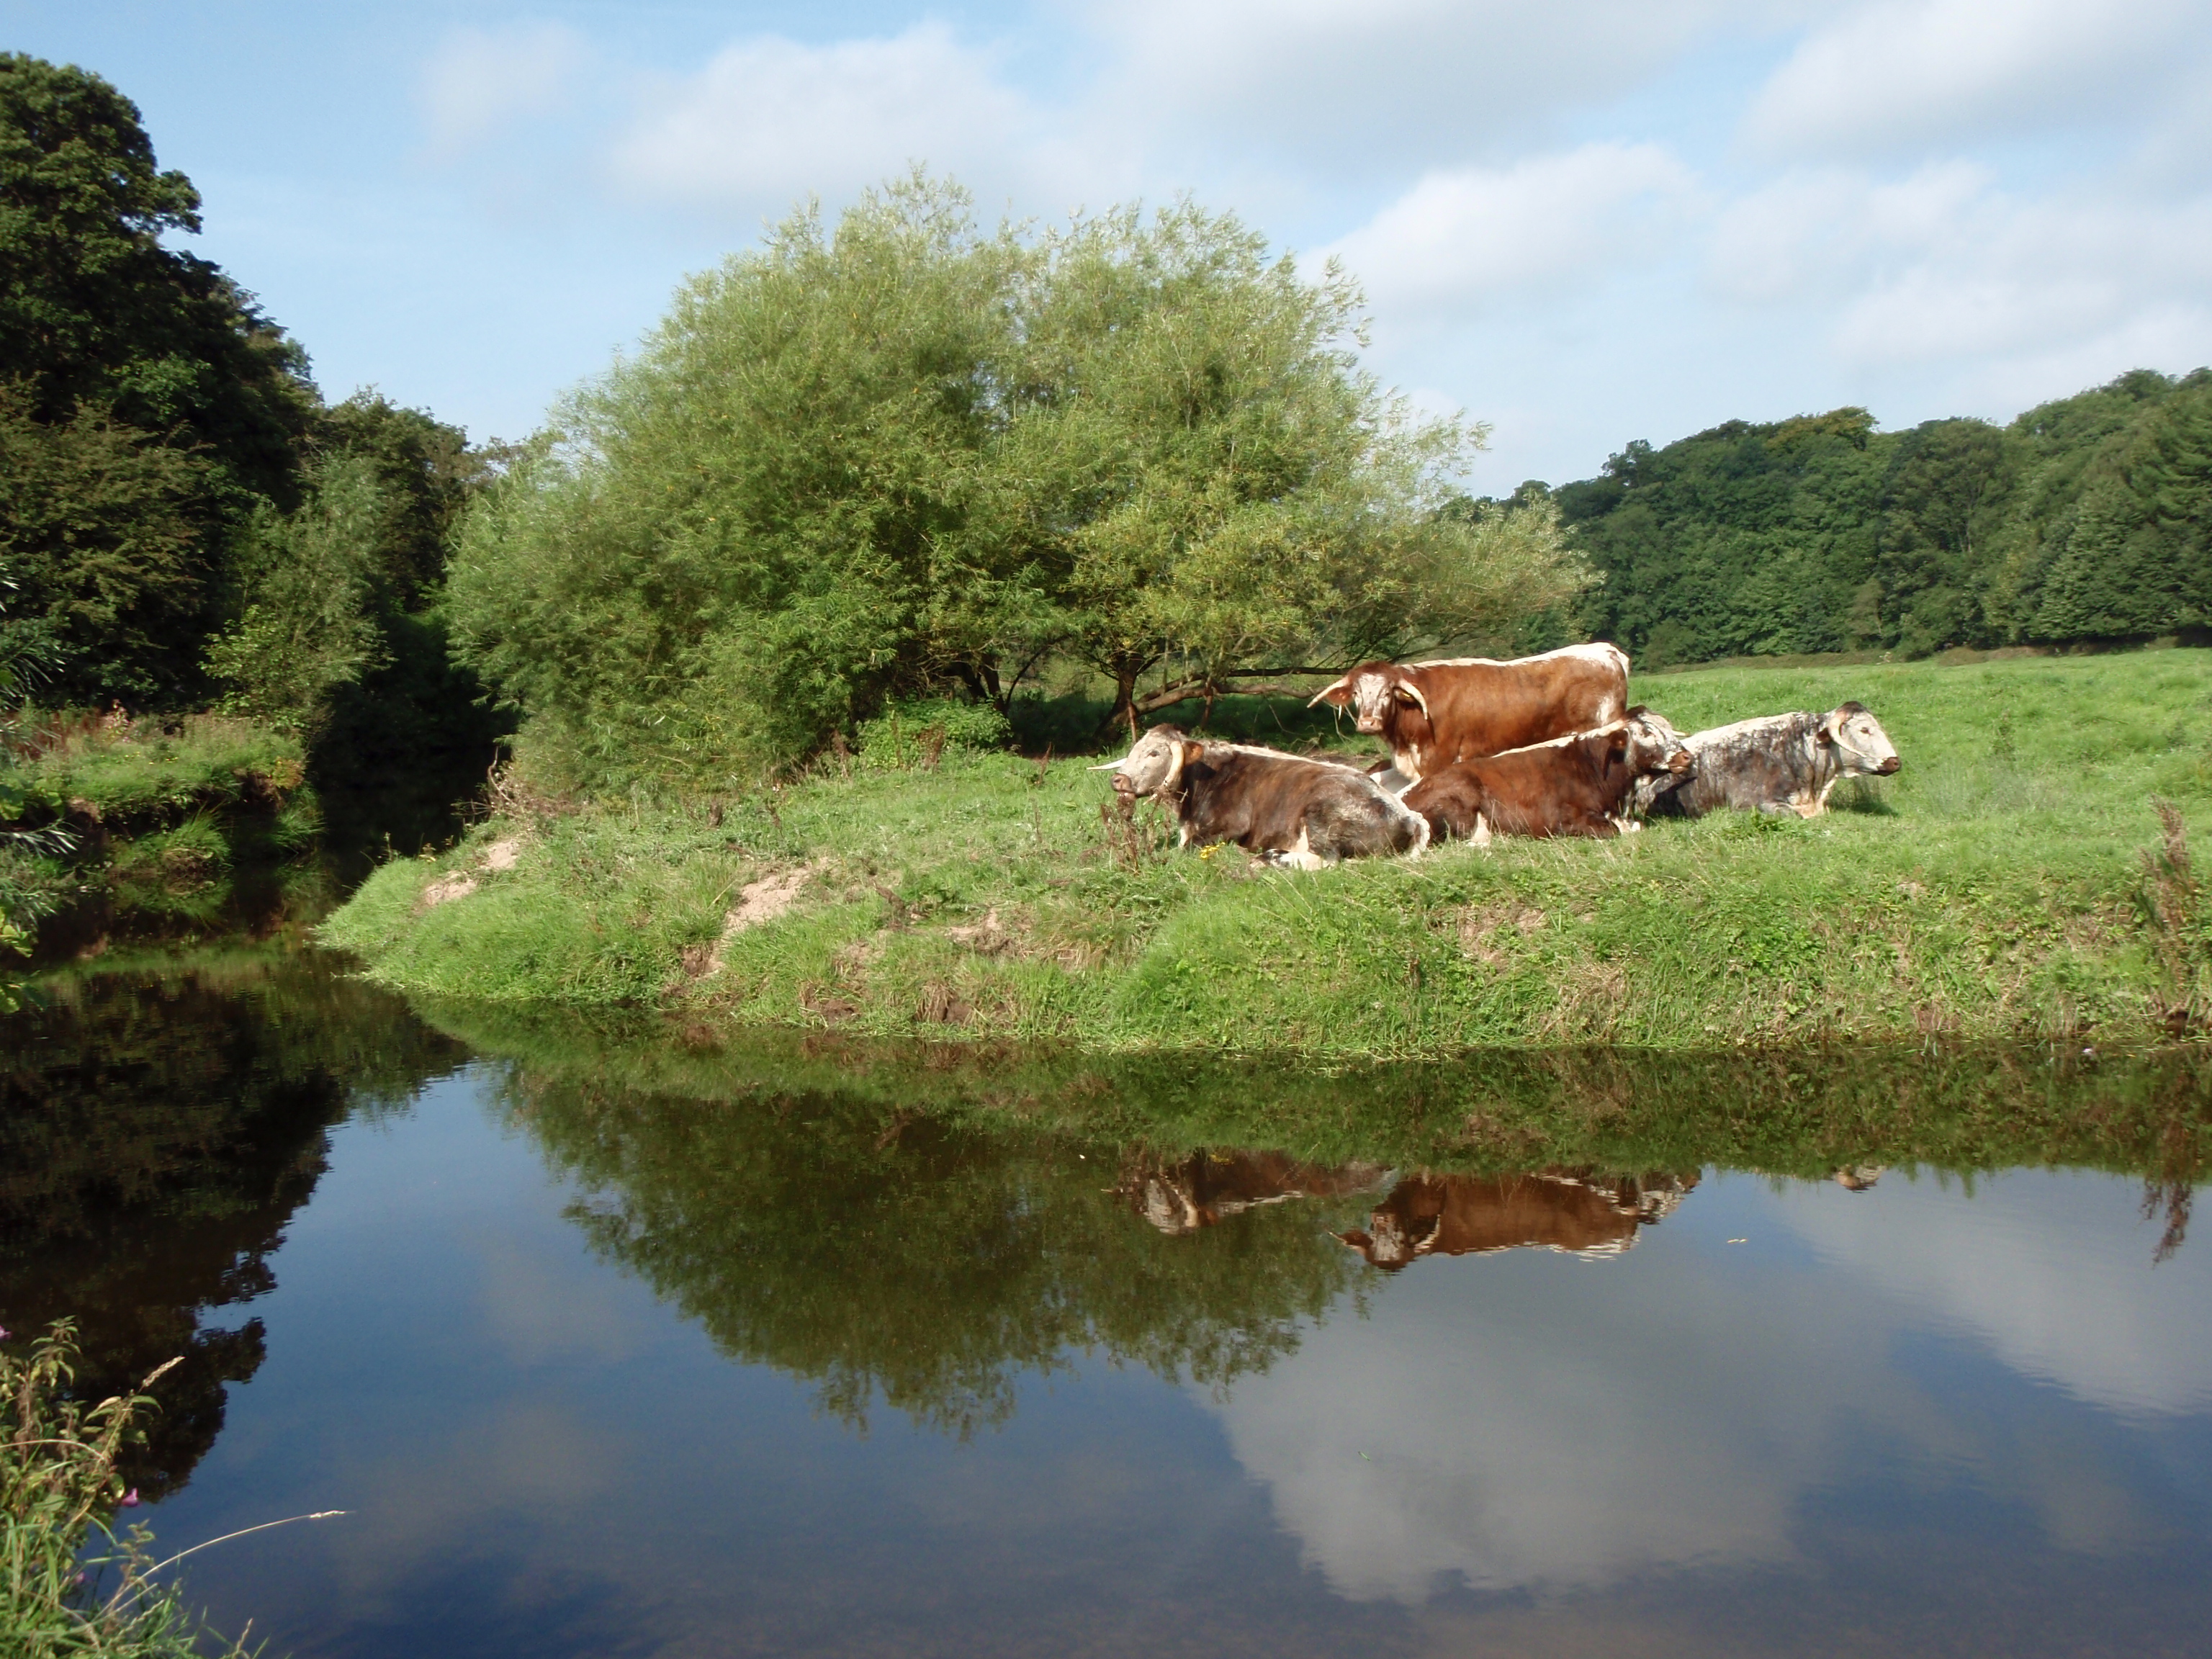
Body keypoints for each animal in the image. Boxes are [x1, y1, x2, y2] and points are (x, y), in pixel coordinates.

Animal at [1092, 725, 1433, 871]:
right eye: (1134, 750)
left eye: (1154, 753)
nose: (1118, 779)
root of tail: (1408, 815)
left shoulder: (1228, 828)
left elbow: (1189, 849)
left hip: (1322, 814)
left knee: (1326, 860)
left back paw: (1272, 858)